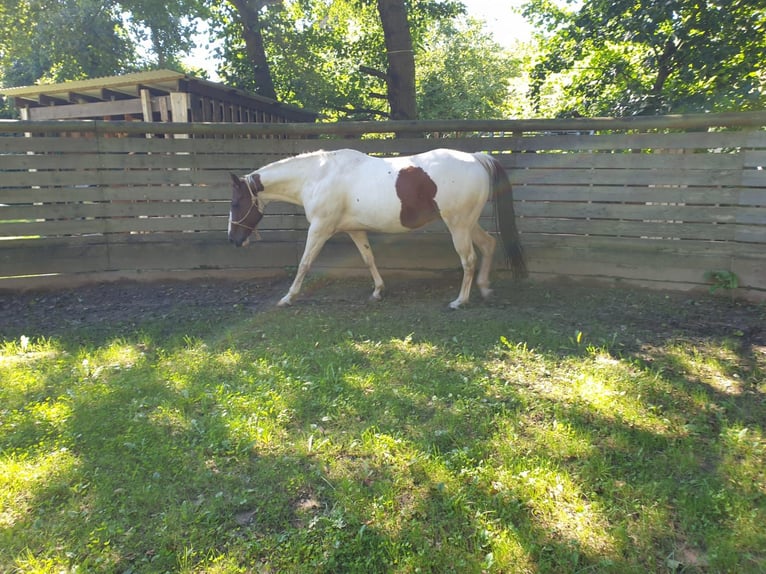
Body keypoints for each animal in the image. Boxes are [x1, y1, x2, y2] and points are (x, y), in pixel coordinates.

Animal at [228, 148, 526, 309]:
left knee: (469, 259)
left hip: (458, 224)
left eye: (235, 202)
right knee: (488, 245)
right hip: (467, 223)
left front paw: (288, 297)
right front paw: (378, 291)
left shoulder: (320, 229)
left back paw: (460, 301)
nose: (233, 239)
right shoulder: (354, 230)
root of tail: (477, 158)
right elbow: (368, 258)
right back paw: (485, 289)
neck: (318, 176)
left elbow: (304, 263)